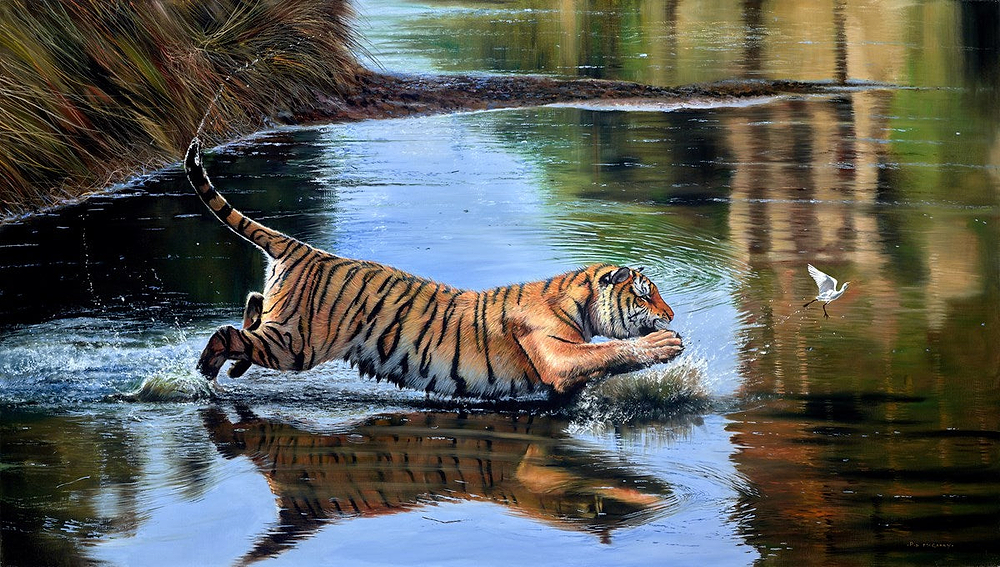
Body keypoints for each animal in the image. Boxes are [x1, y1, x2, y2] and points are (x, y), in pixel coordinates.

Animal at [183, 137, 683, 399]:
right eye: (645, 293)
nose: (673, 315)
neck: (580, 302)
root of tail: (306, 250)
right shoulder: (556, 354)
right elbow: (608, 352)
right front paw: (664, 344)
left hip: (284, 328)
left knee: (251, 307)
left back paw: (234, 368)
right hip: (298, 343)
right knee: (228, 332)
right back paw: (208, 369)